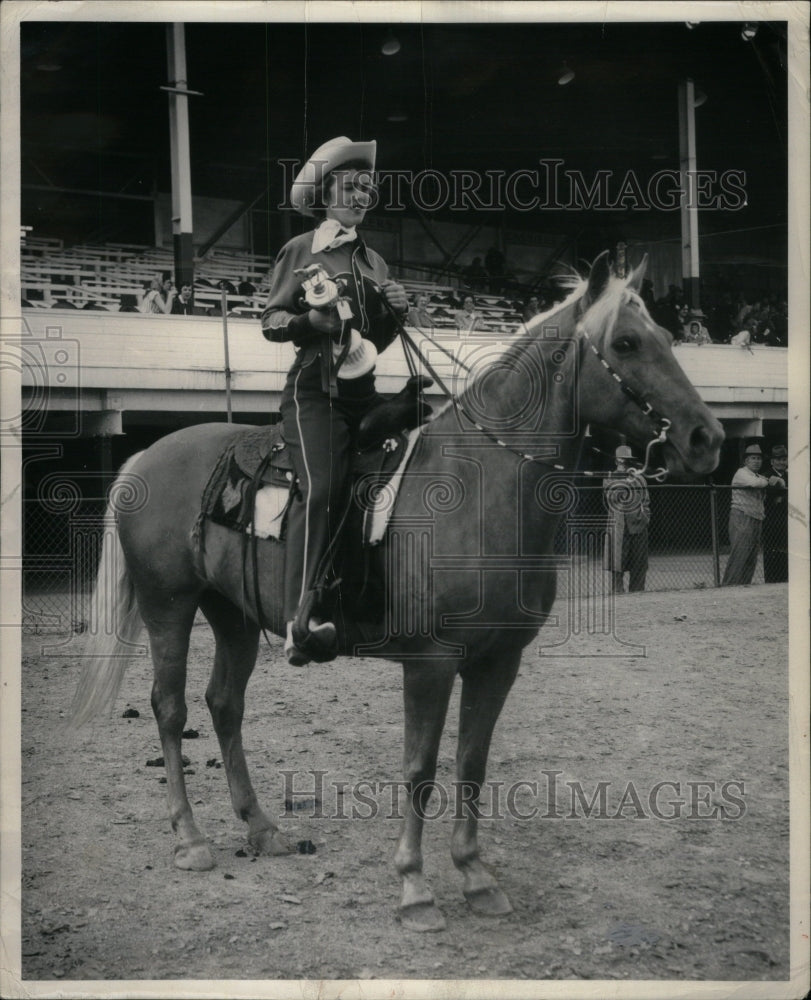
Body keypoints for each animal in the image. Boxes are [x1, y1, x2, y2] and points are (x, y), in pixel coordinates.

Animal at [73, 254, 728, 932]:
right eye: (625, 343)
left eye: (667, 337)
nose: (707, 438)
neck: (480, 485)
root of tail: (146, 455)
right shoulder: (430, 662)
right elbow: (420, 767)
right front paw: (414, 886)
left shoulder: (498, 661)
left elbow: (471, 763)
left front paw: (475, 875)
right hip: (168, 607)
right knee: (170, 709)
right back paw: (190, 838)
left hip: (233, 615)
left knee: (224, 704)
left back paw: (261, 827)